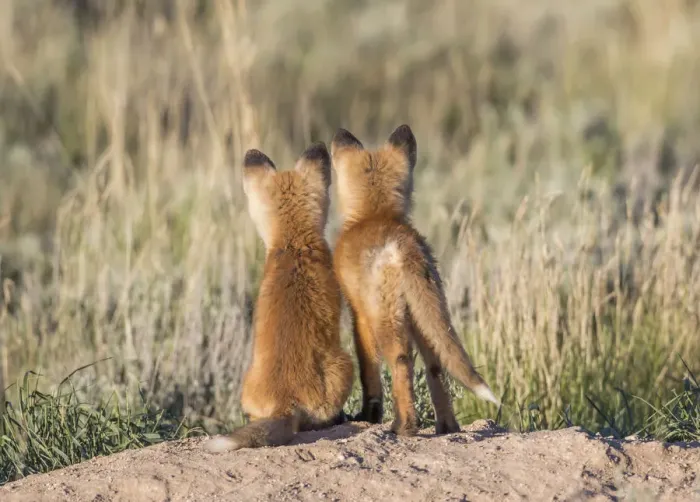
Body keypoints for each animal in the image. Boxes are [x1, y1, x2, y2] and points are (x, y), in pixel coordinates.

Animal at [329, 124, 500, 436]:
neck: (374, 214)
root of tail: (405, 247)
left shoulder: (359, 313)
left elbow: (368, 371)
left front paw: (369, 415)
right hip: (426, 317)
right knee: (436, 367)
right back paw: (447, 427)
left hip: (388, 322)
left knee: (401, 364)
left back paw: (404, 426)